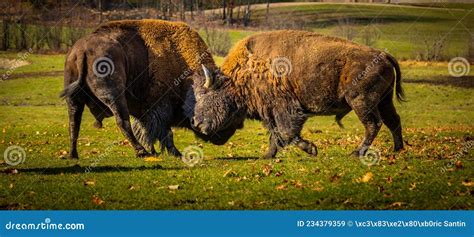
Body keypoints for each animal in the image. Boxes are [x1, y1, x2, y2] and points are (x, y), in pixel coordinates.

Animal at [61, 19, 241, 158]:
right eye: (215, 100)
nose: (227, 133)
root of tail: (82, 50)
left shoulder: (145, 114)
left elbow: (147, 132)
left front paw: (155, 151)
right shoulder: (159, 108)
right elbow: (165, 133)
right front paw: (175, 153)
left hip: (74, 99)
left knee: (74, 122)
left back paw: (73, 155)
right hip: (114, 96)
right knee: (122, 121)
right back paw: (141, 152)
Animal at [187, 30, 406, 158]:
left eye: (208, 96)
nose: (196, 123)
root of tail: (383, 55)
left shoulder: (284, 108)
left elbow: (287, 133)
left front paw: (311, 149)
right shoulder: (269, 111)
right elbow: (275, 133)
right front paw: (268, 155)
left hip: (361, 102)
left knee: (373, 124)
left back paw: (357, 153)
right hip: (384, 101)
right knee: (393, 120)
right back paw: (398, 149)